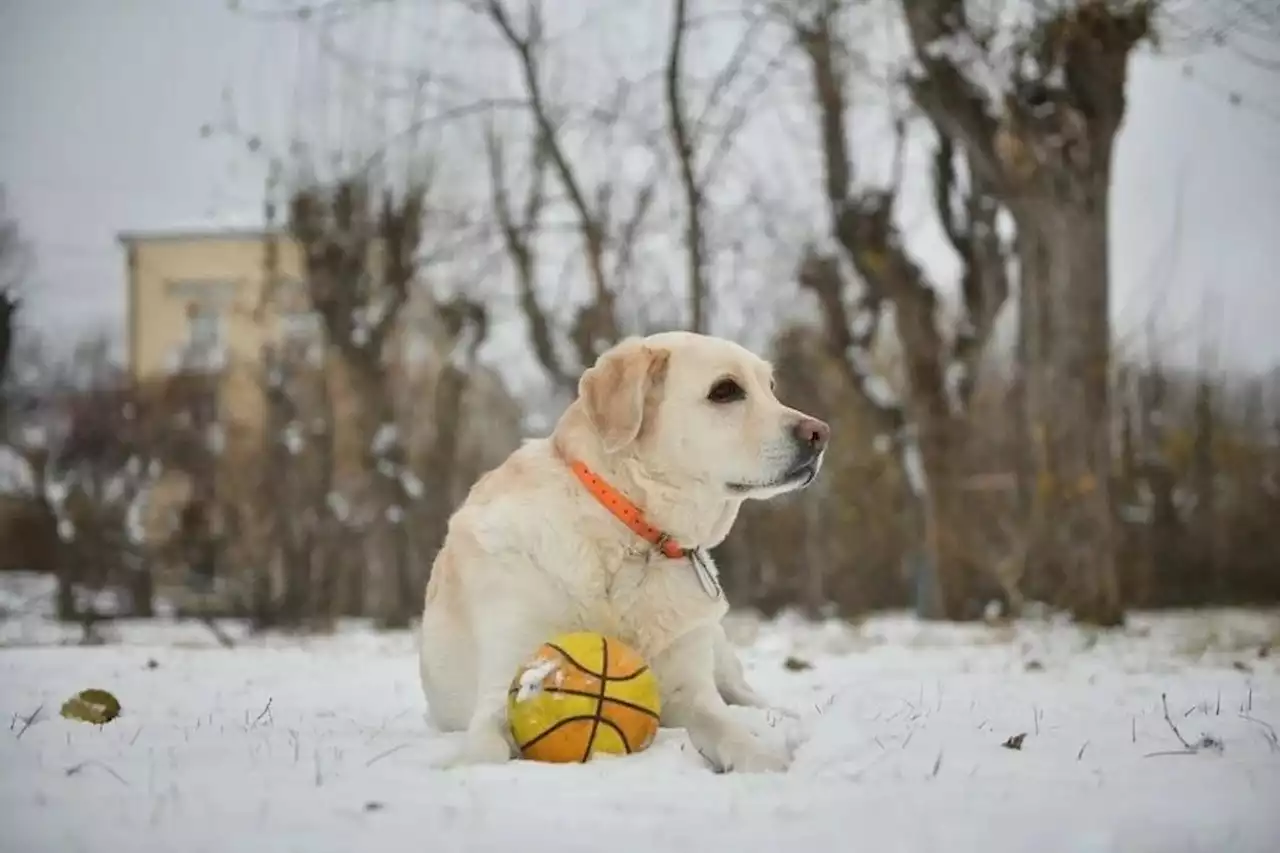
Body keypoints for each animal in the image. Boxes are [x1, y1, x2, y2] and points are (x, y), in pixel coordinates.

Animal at [419, 327, 829, 768]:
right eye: (725, 391)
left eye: (770, 388)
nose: (820, 433)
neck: (629, 535)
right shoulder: (502, 688)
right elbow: (487, 752)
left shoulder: (691, 691)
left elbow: (730, 729)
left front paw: (765, 761)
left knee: (747, 697)